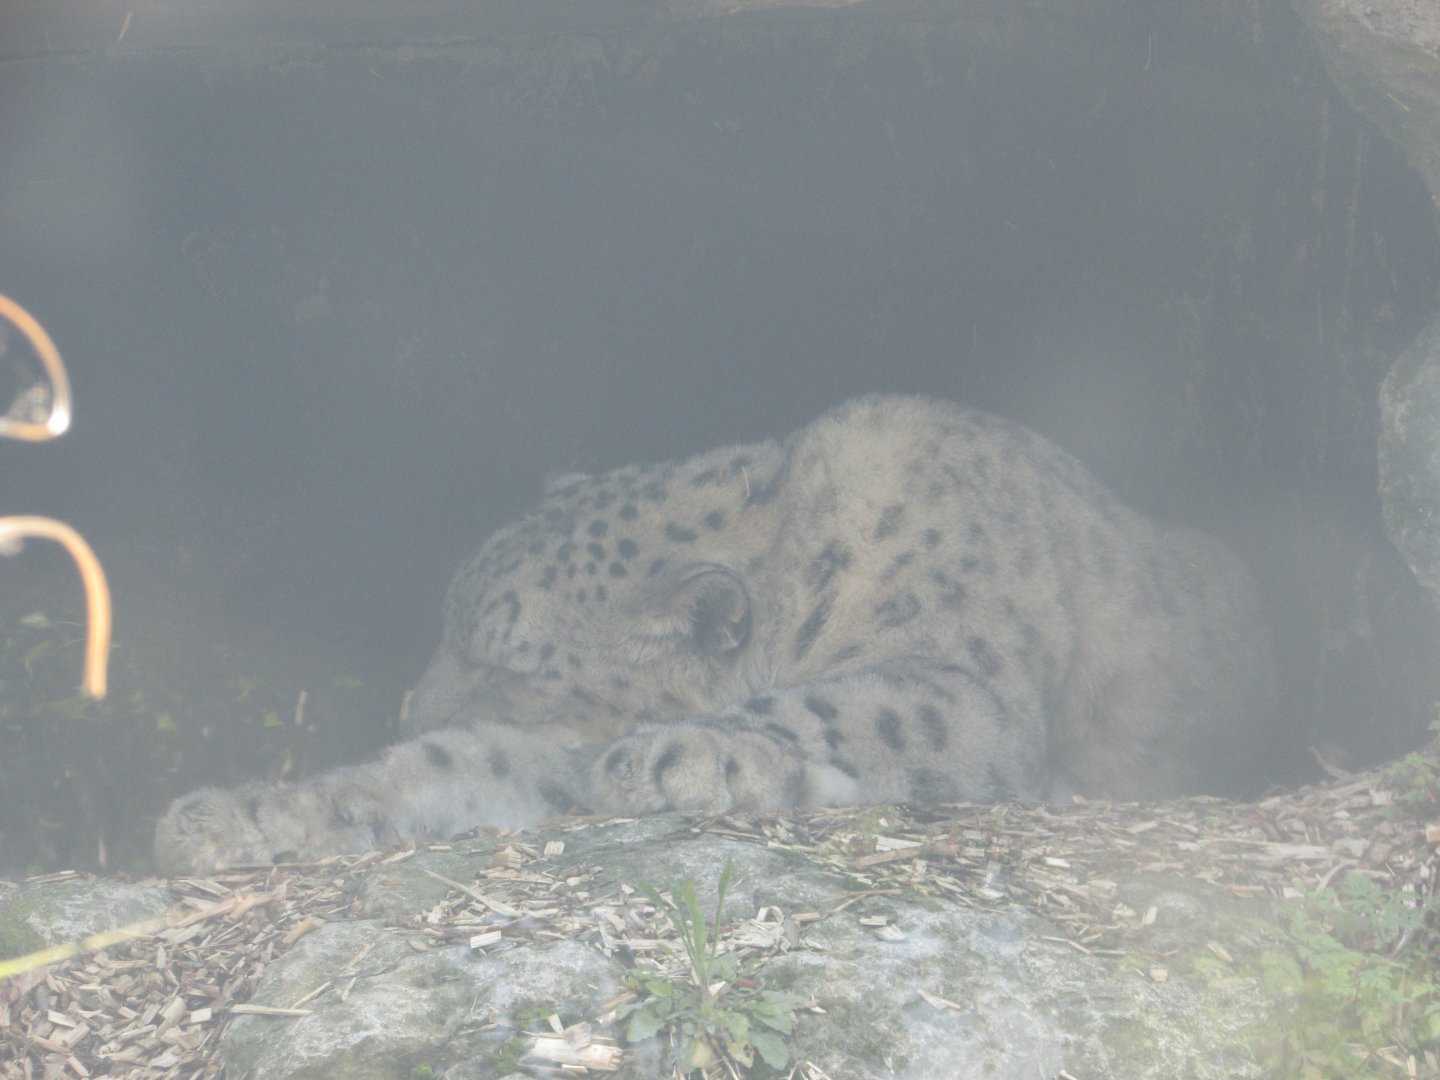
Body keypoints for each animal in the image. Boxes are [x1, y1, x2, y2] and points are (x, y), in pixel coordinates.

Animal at [154, 394, 1276, 874]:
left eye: (506, 658)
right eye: (452, 628)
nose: (409, 706)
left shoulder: (965, 684)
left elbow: (840, 702)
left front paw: (674, 754)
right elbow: (457, 765)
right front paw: (246, 813)